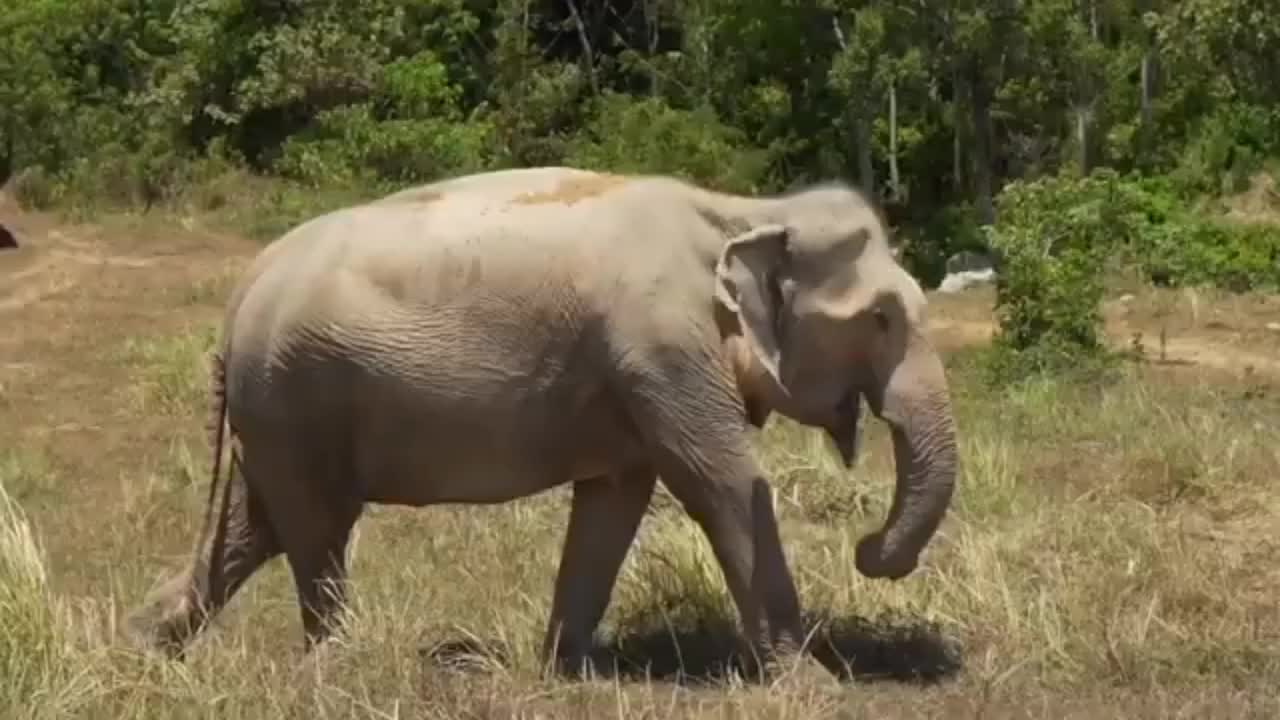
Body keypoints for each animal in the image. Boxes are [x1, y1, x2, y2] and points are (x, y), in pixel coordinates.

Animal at [124, 165, 957, 676]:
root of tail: (238, 300)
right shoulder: (661, 348)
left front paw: (570, 671)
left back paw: (145, 643)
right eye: (882, 319)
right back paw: (333, 666)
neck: (745, 210)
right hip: (296, 393)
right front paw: (811, 682)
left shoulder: (637, 375)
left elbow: (617, 498)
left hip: (276, 408)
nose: (867, 549)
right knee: (315, 527)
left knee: (257, 526)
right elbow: (723, 483)